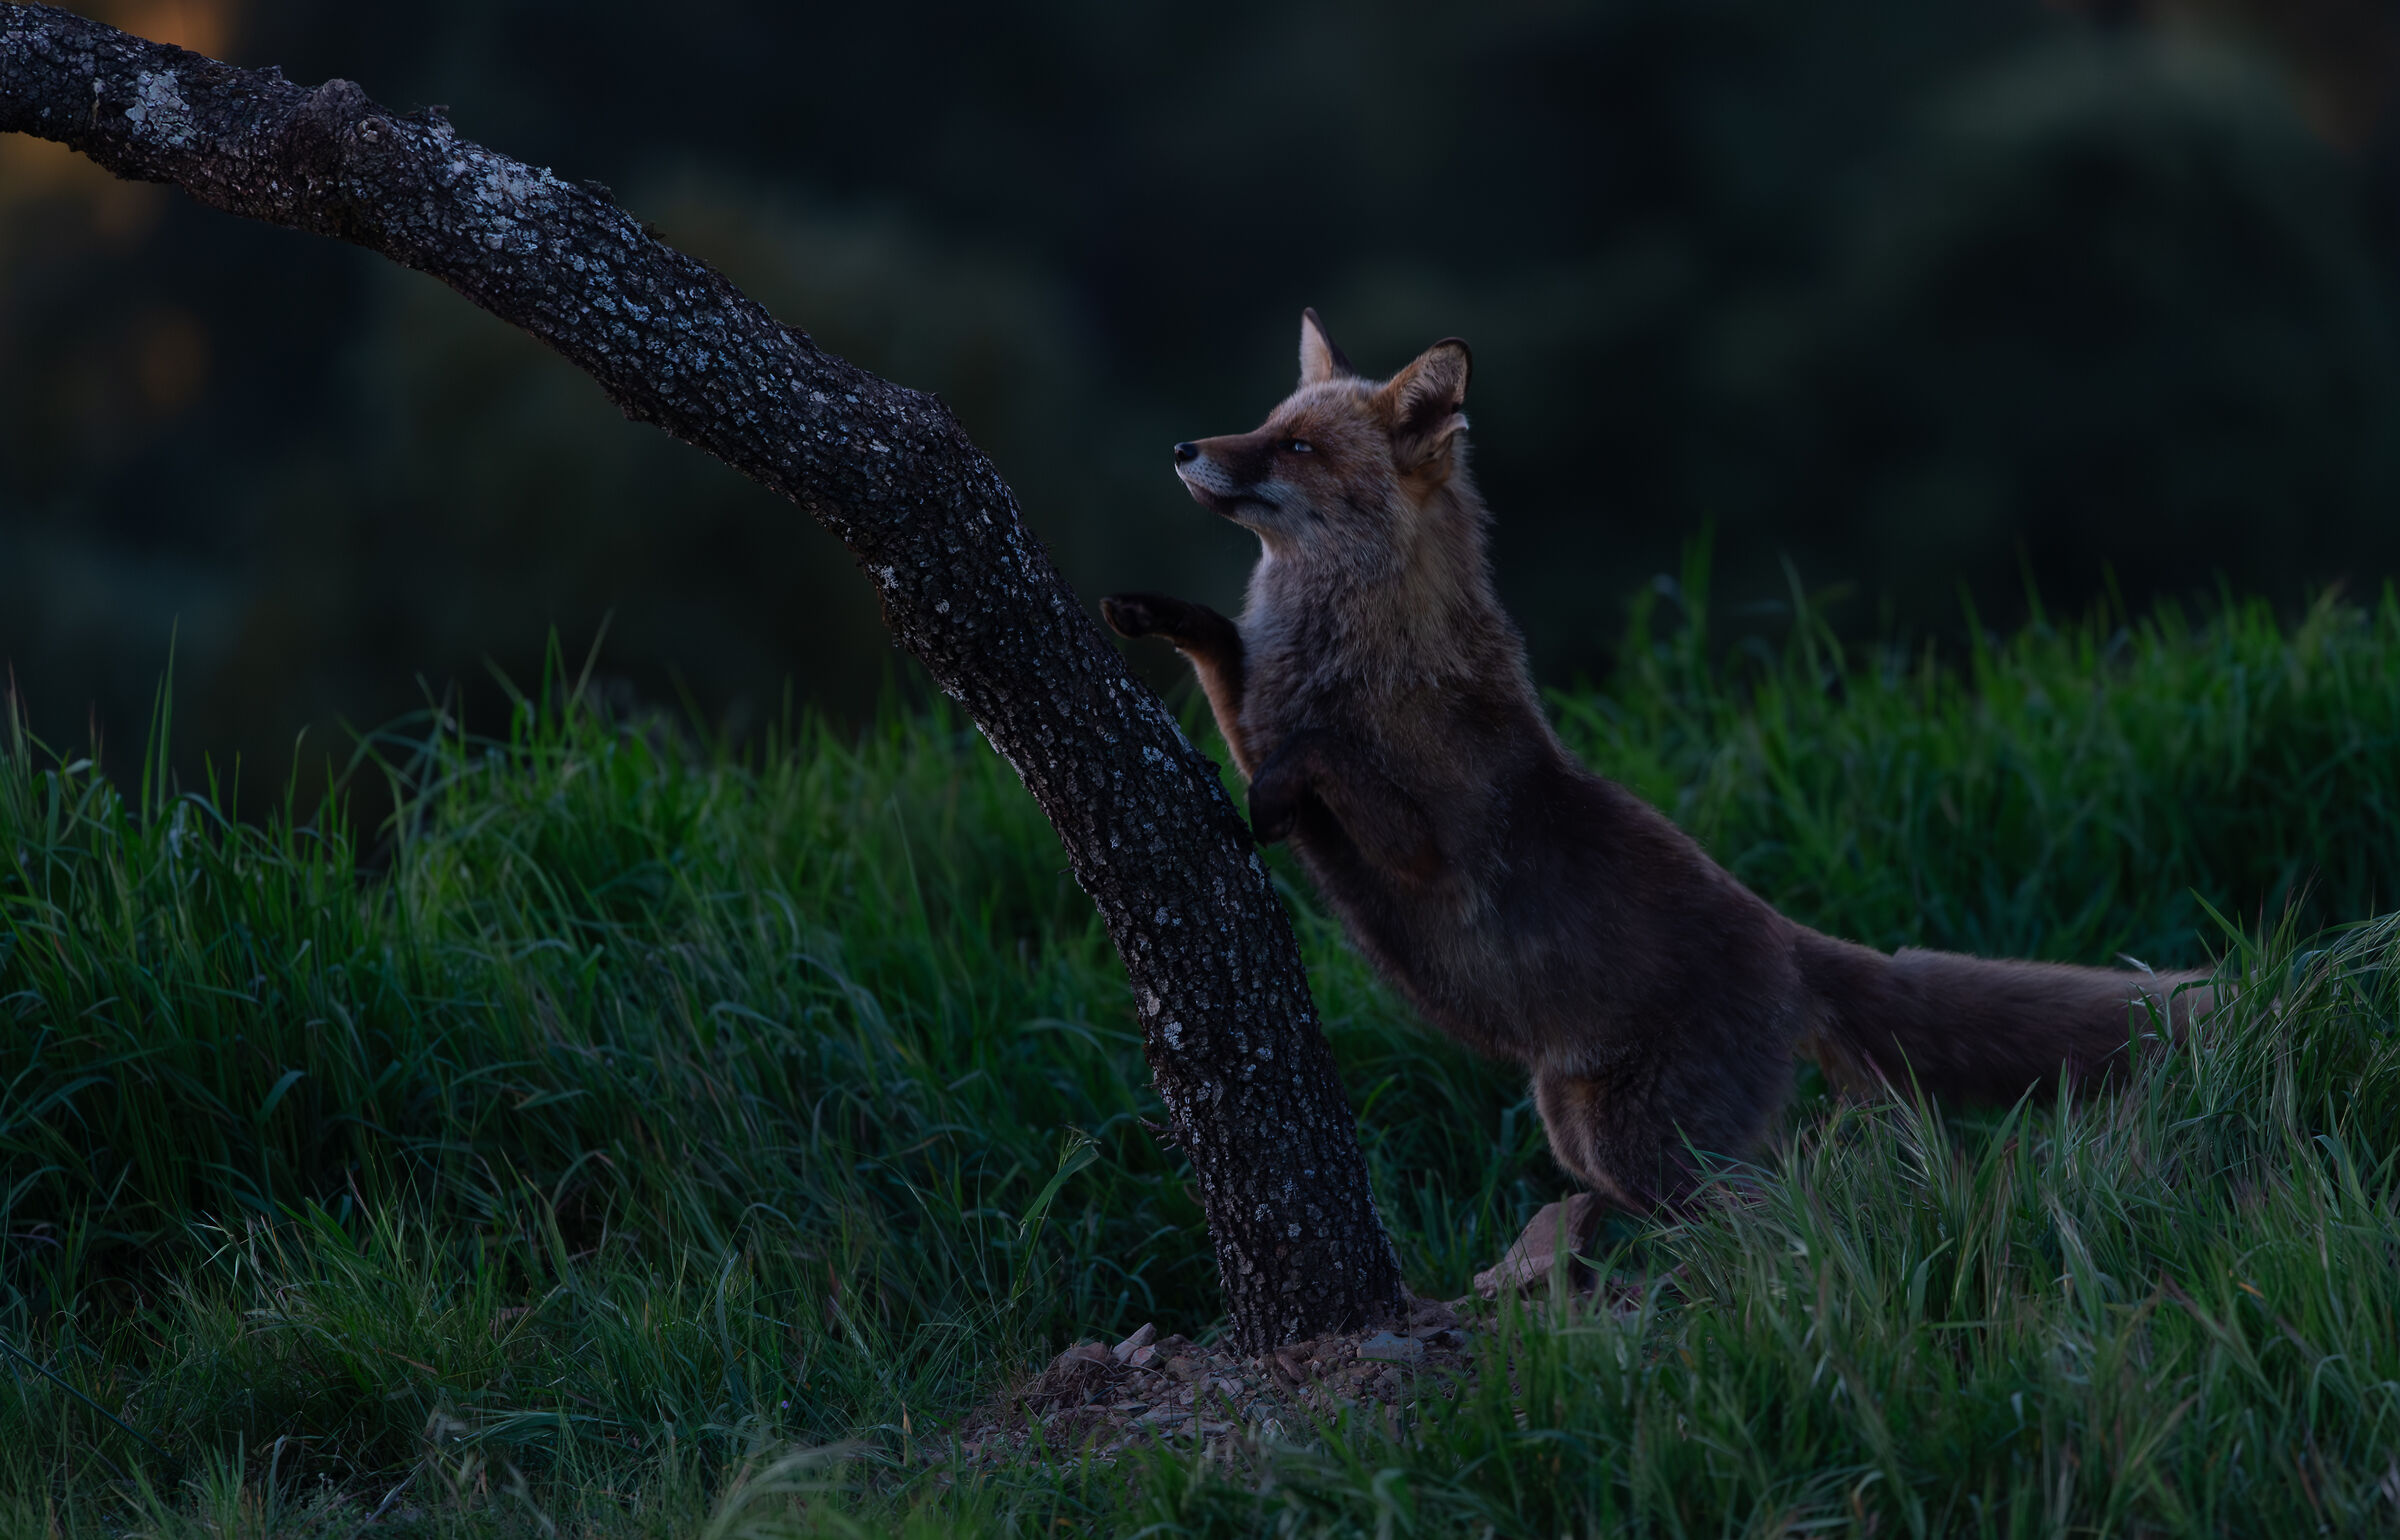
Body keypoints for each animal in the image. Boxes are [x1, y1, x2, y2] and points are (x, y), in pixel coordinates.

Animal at [1101, 308, 2213, 1219]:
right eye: (1267, 418)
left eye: (1296, 445)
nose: (1182, 446)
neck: (1356, 653)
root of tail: (1789, 939)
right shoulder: (1261, 700)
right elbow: (1227, 658)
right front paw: (1153, 613)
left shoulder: (1423, 842)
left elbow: (1320, 757)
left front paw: (1272, 795)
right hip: (1575, 1126)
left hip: (1642, 1143)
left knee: (1777, 1215)